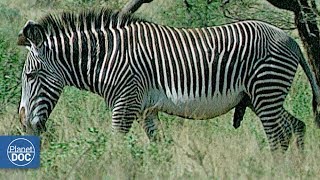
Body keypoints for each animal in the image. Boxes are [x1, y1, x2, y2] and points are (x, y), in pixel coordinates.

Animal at [17, 8, 320, 152]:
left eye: (30, 76)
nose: (25, 126)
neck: (106, 57)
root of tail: (292, 40)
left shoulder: (125, 103)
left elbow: (115, 145)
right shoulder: (145, 110)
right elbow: (160, 147)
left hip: (266, 91)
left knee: (278, 137)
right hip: (261, 97)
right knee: (297, 127)